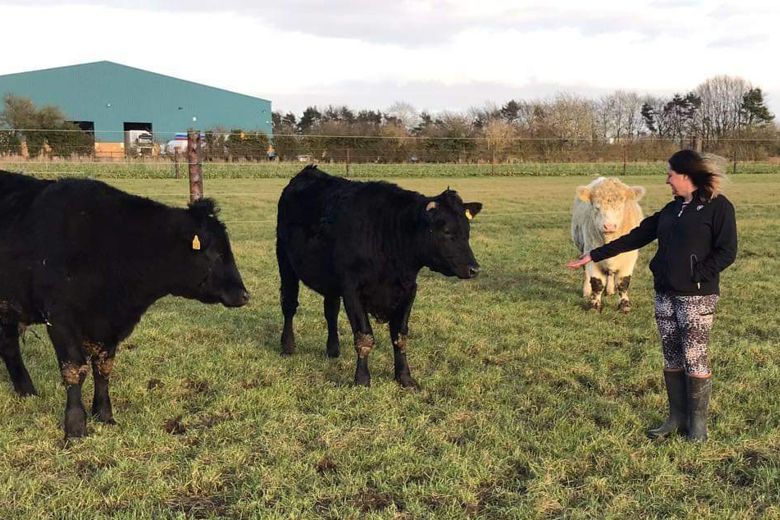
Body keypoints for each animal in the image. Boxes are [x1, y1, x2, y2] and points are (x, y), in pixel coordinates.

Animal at [0, 172, 250, 438]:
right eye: (215, 253)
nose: (244, 295)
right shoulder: (60, 319)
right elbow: (74, 369)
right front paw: (75, 427)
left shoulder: (109, 324)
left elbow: (103, 367)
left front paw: (104, 415)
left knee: (8, 346)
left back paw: (27, 392)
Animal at [274, 166, 482, 386]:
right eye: (446, 231)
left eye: (467, 230)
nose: (474, 269)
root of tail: (308, 171)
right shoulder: (352, 290)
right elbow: (365, 336)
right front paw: (362, 379)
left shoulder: (408, 290)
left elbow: (400, 337)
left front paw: (405, 378)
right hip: (285, 262)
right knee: (289, 305)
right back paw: (288, 346)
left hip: (330, 280)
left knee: (330, 311)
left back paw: (333, 350)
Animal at [572, 177, 644, 310]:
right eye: (597, 207)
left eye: (620, 207)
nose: (609, 226)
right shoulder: (591, 255)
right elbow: (597, 282)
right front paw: (594, 305)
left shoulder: (629, 258)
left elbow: (623, 282)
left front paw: (624, 305)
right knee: (586, 273)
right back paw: (586, 291)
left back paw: (610, 290)